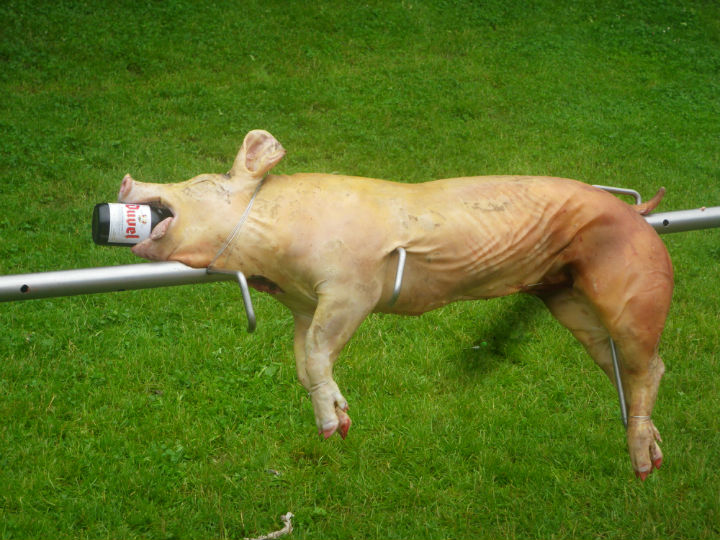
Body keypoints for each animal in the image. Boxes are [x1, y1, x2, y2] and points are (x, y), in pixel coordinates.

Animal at [118, 129, 673, 480]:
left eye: (198, 182)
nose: (126, 181)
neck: (269, 249)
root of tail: (637, 212)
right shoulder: (303, 304)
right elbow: (302, 359)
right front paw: (339, 426)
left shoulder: (352, 288)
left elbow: (318, 351)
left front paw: (332, 428)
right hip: (565, 294)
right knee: (620, 363)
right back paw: (650, 456)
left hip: (635, 284)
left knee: (651, 365)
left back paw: (646, 465)